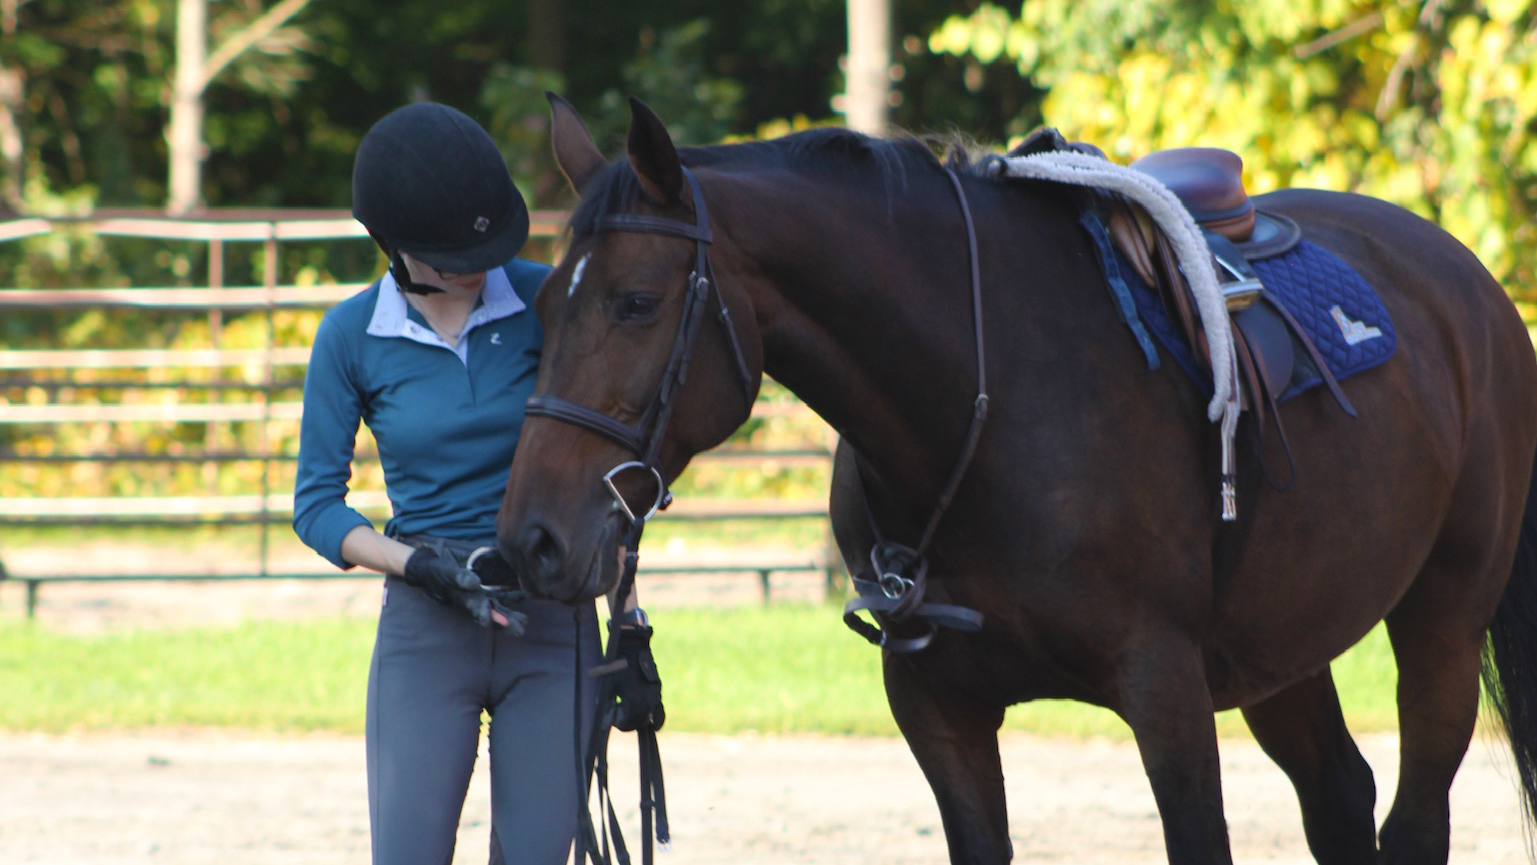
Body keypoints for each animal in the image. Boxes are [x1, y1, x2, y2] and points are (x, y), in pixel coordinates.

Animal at [494, 91, 1537, 860]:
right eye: (541, 307)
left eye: (635, 302)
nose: (530, 540)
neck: (983, 411)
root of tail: (1470, 285)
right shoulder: (937, 706)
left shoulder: (1165, 692)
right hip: (1279, 647)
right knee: (1339, 795)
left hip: (1442, 621)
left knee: (1414, 816)